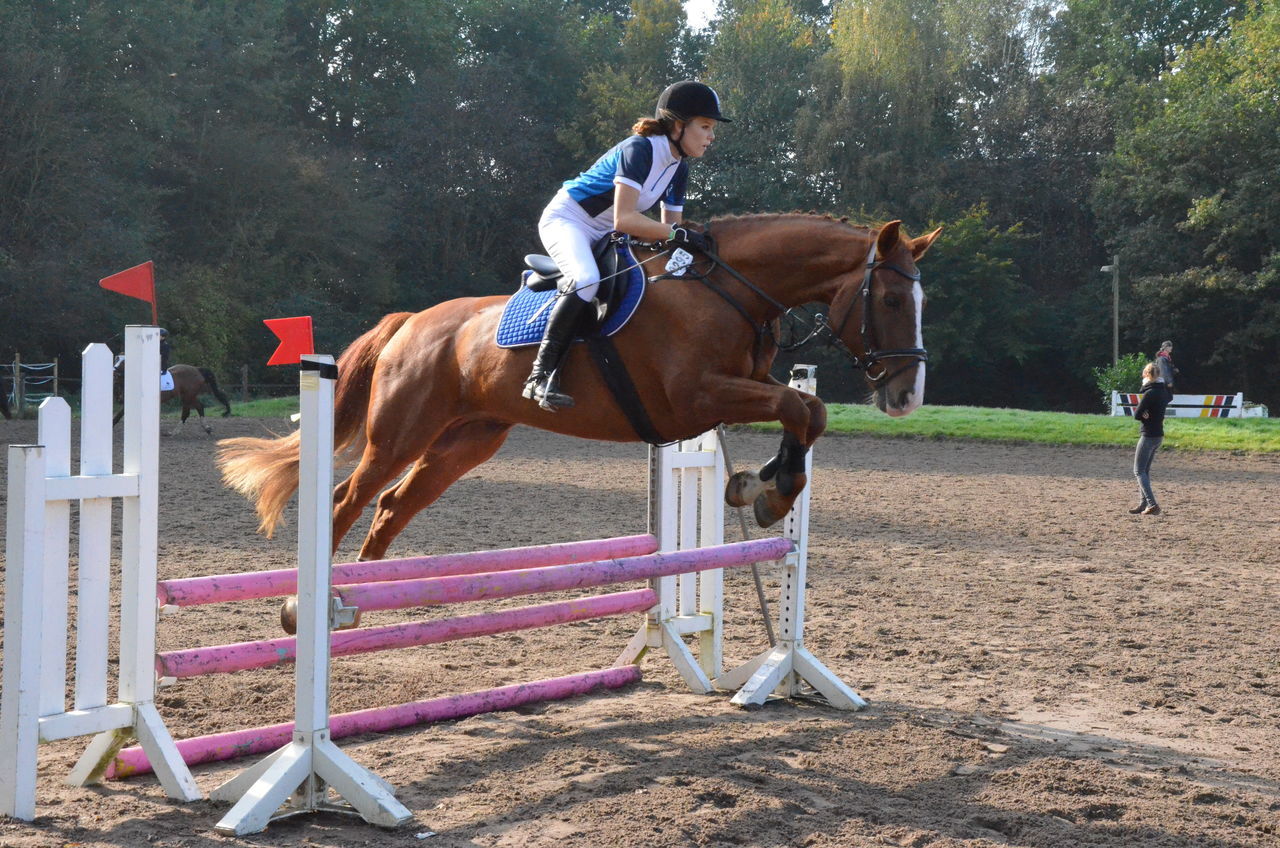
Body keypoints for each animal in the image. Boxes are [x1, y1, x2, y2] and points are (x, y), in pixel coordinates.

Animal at [217, 216, 942, 561]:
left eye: (919, 300)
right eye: (890, 298)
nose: (907, 396)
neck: (727, 289)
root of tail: (410, 322)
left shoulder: (741, 384)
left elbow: (808, 409)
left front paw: (761, 485)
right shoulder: (695, 398)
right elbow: (798, 405)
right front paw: (767, 491)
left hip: (466, 441)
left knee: (393, 507)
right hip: (401, 432)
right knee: (348, 499)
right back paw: (307, 609)